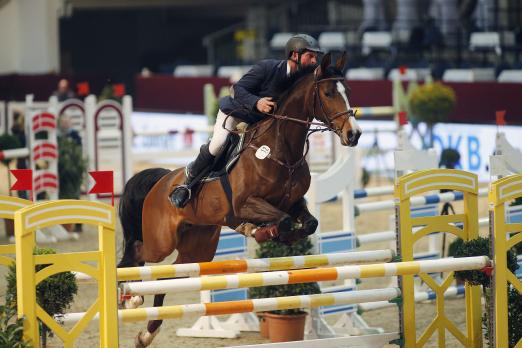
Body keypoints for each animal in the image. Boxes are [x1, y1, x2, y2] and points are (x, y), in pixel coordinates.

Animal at [118, 52, 362, 348]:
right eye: (328, 93)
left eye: (348, 91)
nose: (354, 134)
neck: (281, 148)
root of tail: (161, 181)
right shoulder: (246, 203)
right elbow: (283, 220)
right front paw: (264, 232)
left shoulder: (293, 203)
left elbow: (308, 223)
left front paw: (276, 236)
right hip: (161, 241)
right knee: (136, 254)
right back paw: (130, 297)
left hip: (198, 247)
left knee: (169, 276)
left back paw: (147, 333)